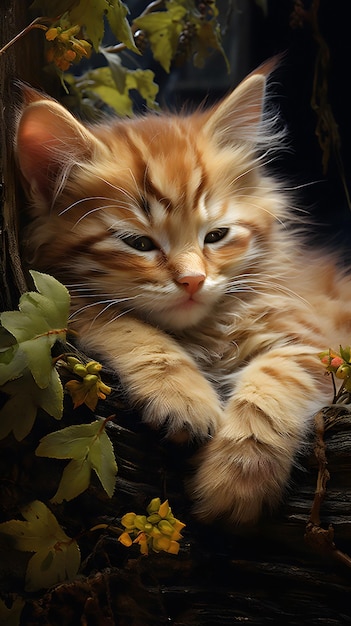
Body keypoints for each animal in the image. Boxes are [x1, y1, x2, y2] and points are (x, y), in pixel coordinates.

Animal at [14, 62, 350, 520]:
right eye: (138, 243)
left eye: (216, 236)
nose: (193, 280)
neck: (202, 332)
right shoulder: (60, 294)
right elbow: (120, 322)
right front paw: (182, 396)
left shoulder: (318, 343)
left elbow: (274, 383)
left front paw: (234, 482)